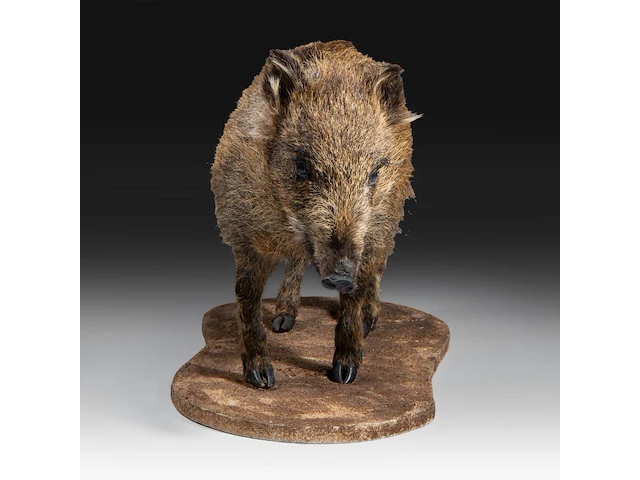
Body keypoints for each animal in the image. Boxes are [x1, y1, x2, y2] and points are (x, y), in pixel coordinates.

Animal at [210, 40, 421, 388]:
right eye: (301, 165)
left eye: (374, 174)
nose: (339, 276)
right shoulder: (244, 234)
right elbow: (246, 295)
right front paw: (262, 379)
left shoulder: (372, 233)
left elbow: (355, 295)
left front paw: (344, 375)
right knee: (295, 264)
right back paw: (283, 320)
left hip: (392, 217)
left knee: (376, 270)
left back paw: (369, 321)